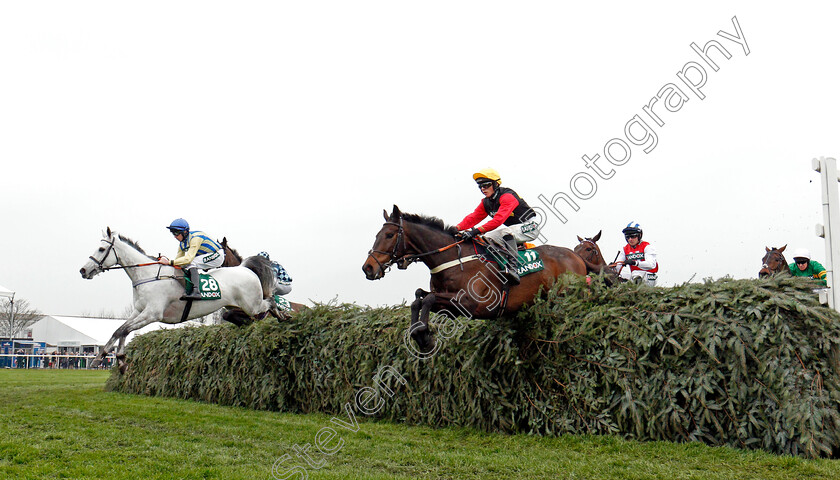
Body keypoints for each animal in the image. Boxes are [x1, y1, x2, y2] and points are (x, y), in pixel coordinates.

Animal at [80, 227, 280, 370]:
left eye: (101, 249)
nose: (83, 270)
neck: (148, 275)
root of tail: (245, 268)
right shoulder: (138, 311)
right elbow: (121, 330)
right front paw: (117, 360)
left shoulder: (152, 314)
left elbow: (122, 330)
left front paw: (103, 357)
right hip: (239, 306)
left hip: (252, 304)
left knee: (269, 303)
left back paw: (282, 316)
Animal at [362, 204, 592, 354]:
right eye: (376, 235)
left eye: (389, 235)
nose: (368, 268)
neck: (452, 259)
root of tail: (577, 256)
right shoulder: (451, 308)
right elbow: (418, 298)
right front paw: (420, 335)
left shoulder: (473, 304)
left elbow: (427, 299)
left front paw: (423, 335)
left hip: (566, 294)